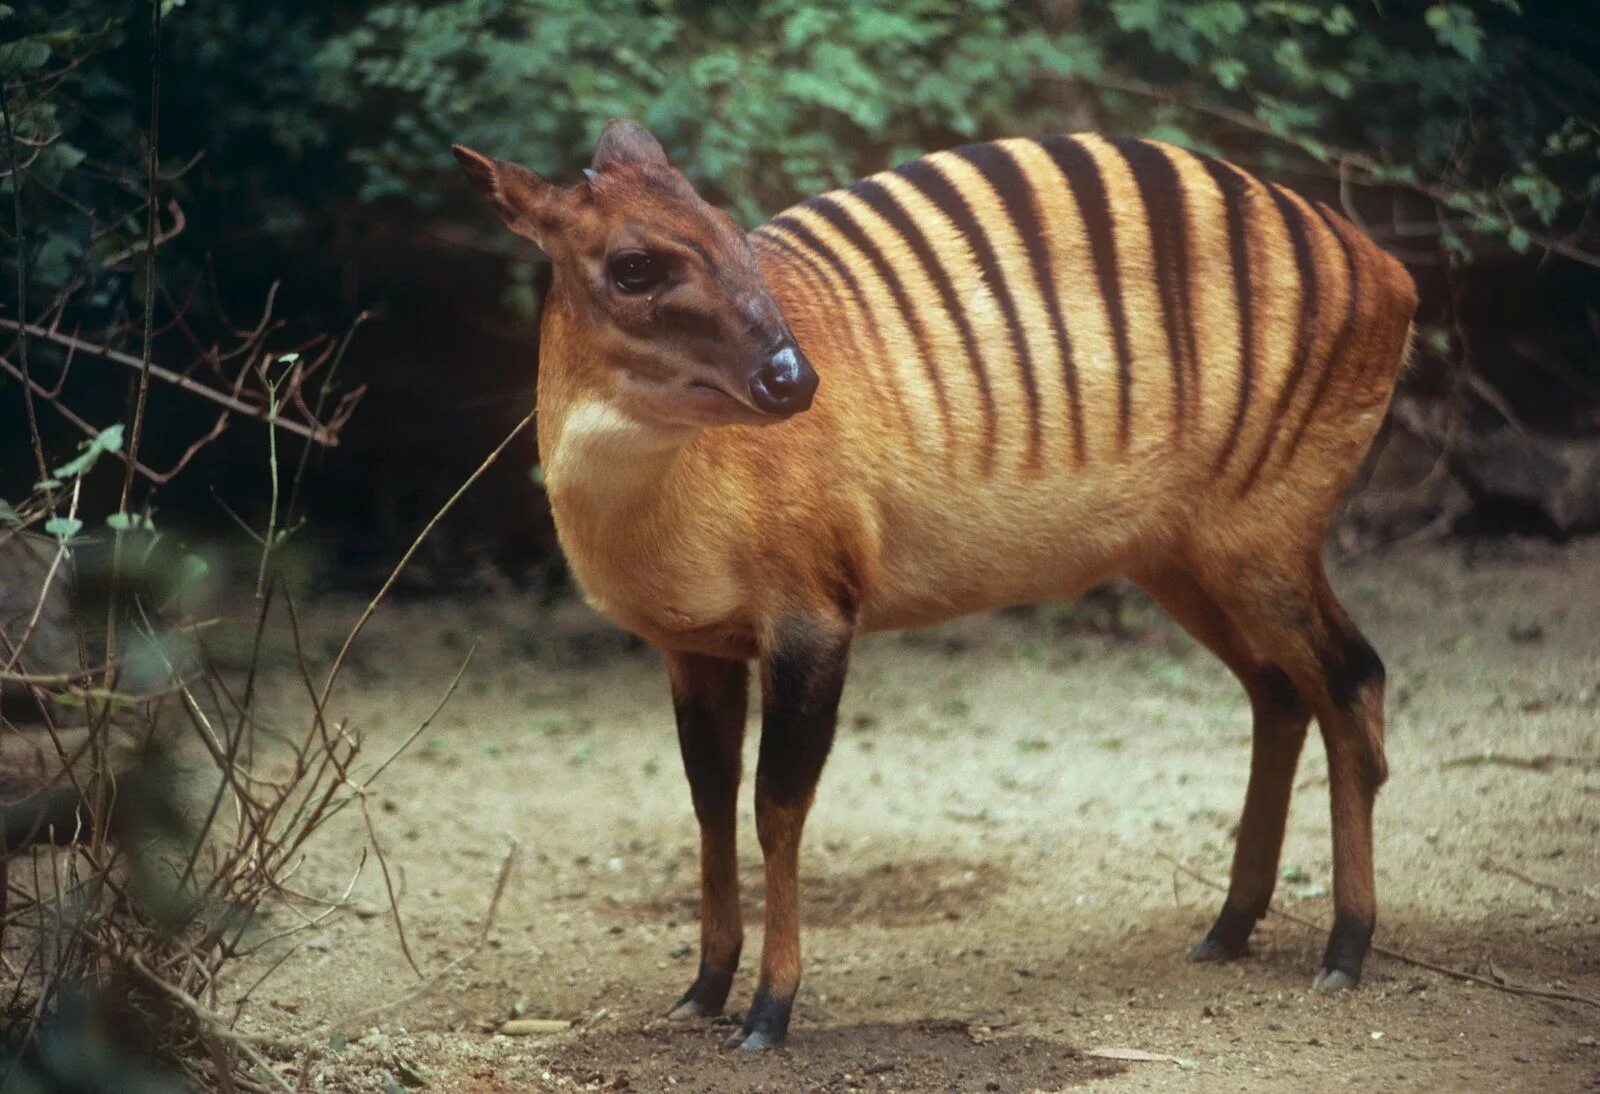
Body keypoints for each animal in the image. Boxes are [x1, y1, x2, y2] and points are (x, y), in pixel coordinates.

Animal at [451, 119, 1414, 1049]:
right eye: (633, 265)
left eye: (730, 233)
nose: (792, 379)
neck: (665, 493)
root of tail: (1388, 269)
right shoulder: (691, 645)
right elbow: (709, 802)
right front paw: (703, 989)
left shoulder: (815, 617)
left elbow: (776, 807)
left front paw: (769, 1009)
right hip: (1178, 556)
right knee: (1280, 693)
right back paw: (1230, 925)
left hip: (1263, 534)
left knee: (1351, 677)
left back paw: (1347, 945)